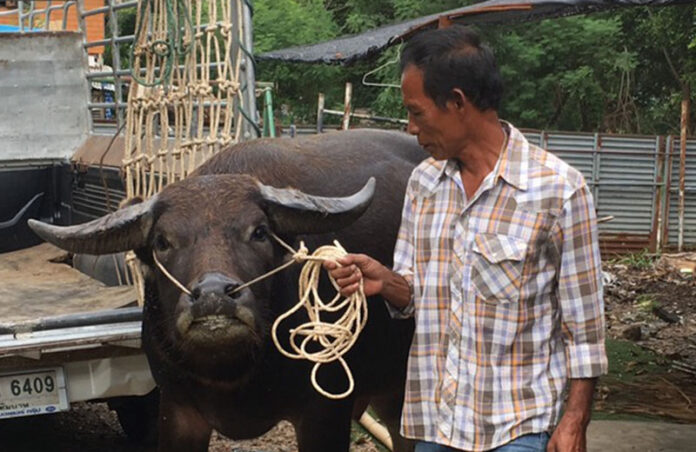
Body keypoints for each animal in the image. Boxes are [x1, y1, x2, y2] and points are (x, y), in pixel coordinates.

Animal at [28, 129, 424, 452]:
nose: (214, 294)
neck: (232, 375)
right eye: (162, 241)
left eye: (259, 232)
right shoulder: (177, 407)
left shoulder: (324, 413)